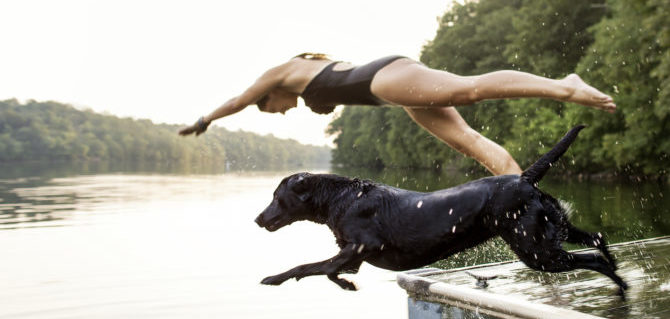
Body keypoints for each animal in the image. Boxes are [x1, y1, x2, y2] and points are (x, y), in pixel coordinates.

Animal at [255, 126, 628, 296]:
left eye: (276, 196)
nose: (258, 219)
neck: (342, 197)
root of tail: (524, 177)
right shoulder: (354, 255)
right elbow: (326, 269)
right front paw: (346, 284)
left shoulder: (361, 247)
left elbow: (312, 267)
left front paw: (275, 278)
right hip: (551, 232)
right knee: (598, 238)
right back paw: (617, 270)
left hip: (537, 250)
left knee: (593, 258)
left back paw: (620, 286)